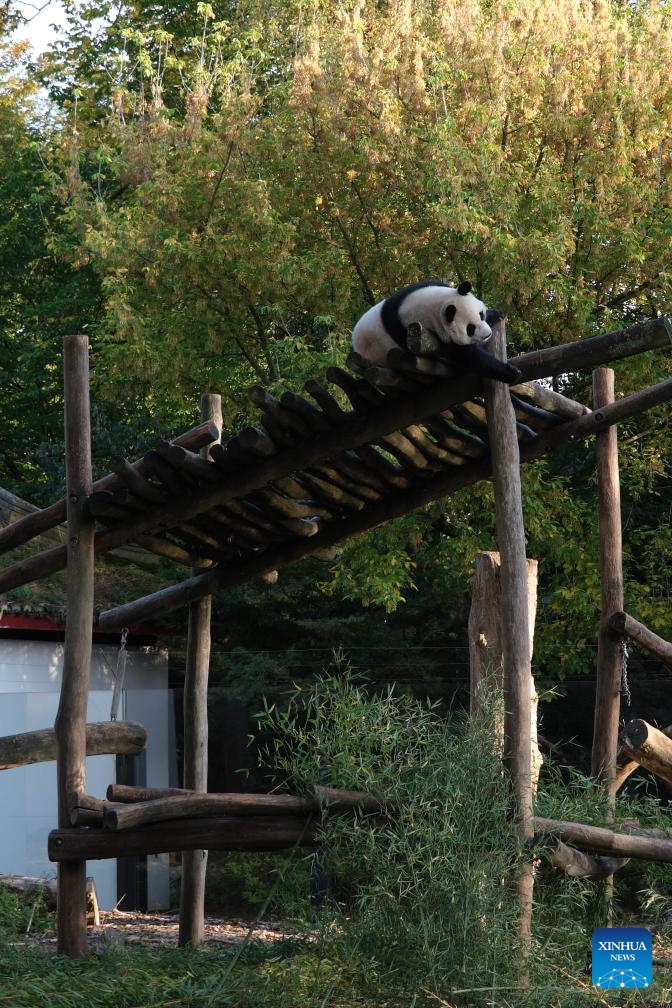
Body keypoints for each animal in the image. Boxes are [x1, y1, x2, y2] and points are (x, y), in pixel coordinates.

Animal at [354, 278, 523, 383]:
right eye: (470, 329)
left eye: (481, 314)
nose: (488, 334)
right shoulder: (426, 334)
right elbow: (469, 357)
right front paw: (512, 373)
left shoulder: (416, 289)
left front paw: (495, 314)